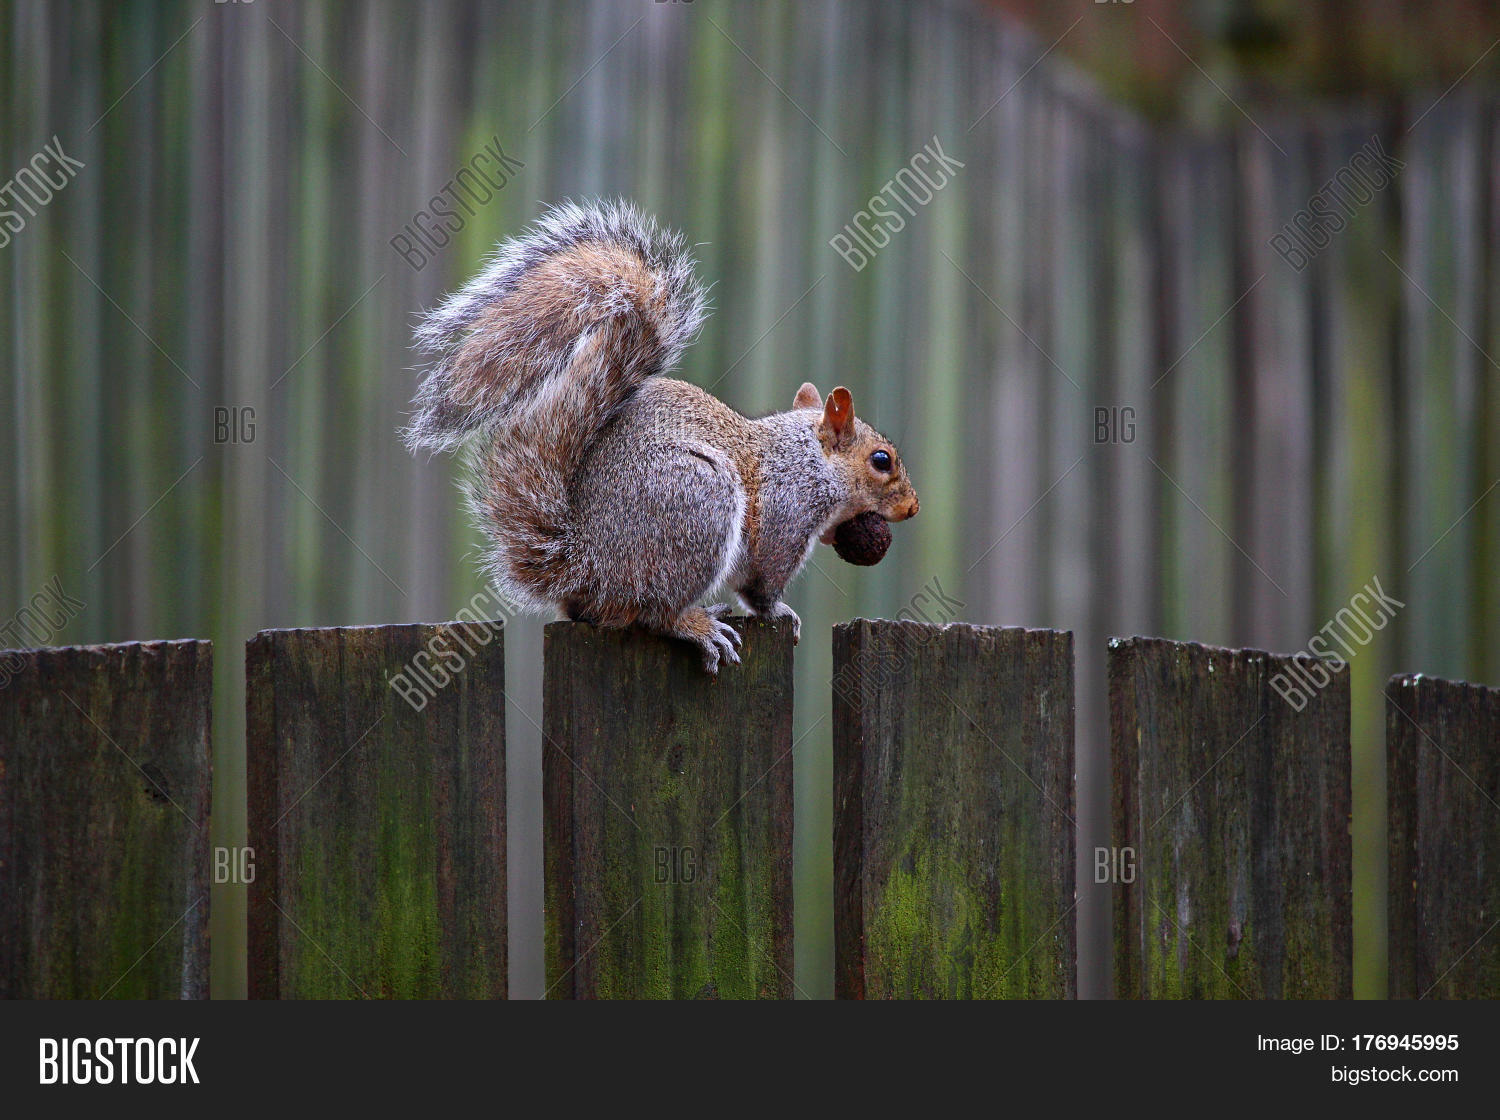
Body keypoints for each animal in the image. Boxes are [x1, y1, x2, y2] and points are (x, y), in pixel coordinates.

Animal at [402, 200, 919, 672]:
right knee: (652, 614)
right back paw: (697, 625)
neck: (807, 458)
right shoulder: (785, 515)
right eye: (881, 460)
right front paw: (783, 613)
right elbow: (763, 586)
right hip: (698, 502)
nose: (912, 508)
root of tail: (584, 565)